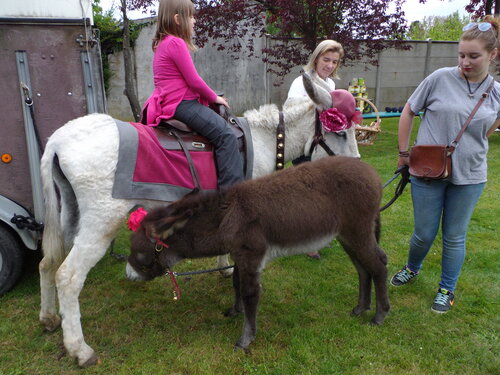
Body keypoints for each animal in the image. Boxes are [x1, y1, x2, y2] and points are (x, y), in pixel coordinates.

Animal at [127, 156, 388, 352]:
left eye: (139, 252)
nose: (129, 275)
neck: (227, 216)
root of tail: (372, 174)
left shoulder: (251, 256)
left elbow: (250, 293)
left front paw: (245, 339)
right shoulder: (239, 256)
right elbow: (236, 284)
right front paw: (235, 311)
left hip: (357, 230)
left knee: (378, 264)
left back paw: (379, 315)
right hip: (347, 235)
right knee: (363, 268)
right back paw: (360, 308)